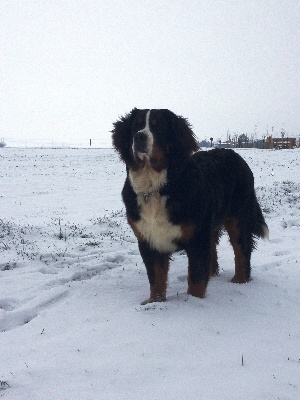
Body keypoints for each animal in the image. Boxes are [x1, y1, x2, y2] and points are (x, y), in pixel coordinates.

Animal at [112, 108, 270, 304]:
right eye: (136, 125)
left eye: (159, 127)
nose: (139, 137)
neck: (157, 188)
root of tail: (233, 153)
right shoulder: (149, 239)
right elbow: (156, 278)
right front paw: (155, 303)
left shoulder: (197, 238)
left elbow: (195, 278)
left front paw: (195, 305)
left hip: (237, 219)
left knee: (242, 249)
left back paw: (240, 281)